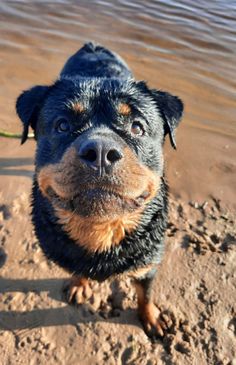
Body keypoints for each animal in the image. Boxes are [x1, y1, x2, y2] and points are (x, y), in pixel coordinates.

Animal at [15, 43, 183, 338]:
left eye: (137, 127)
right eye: (62, 125)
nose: (101, 151)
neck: (101, 229)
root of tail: (92, 46)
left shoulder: (148, 262)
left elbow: (146, 293)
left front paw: (151, 317)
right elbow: (79, 269)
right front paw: (80, 283)